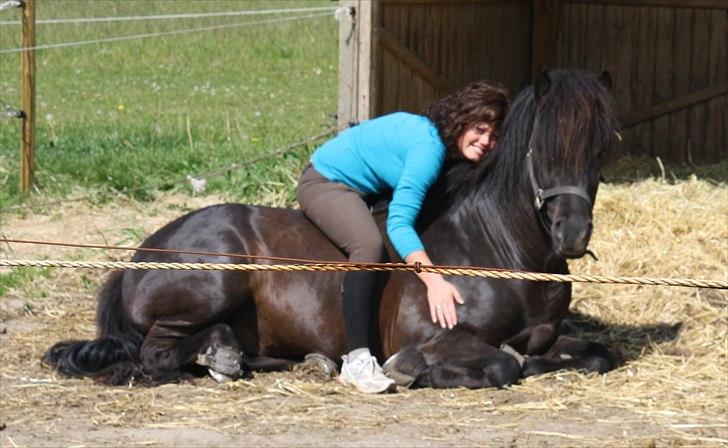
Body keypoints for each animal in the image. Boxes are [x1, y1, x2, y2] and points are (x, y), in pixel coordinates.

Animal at [42, 70, 620, 388]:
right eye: (543, 147)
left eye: (599, 149)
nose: (572, 235)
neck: (499, 250)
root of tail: (141, 255)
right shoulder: (432, 335)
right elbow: (501, 367)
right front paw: (411, 369)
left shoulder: (552, 335)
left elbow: (595, 354)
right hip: (217, 279)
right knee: (156, 352)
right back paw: (222, 357)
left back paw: (285, 359)